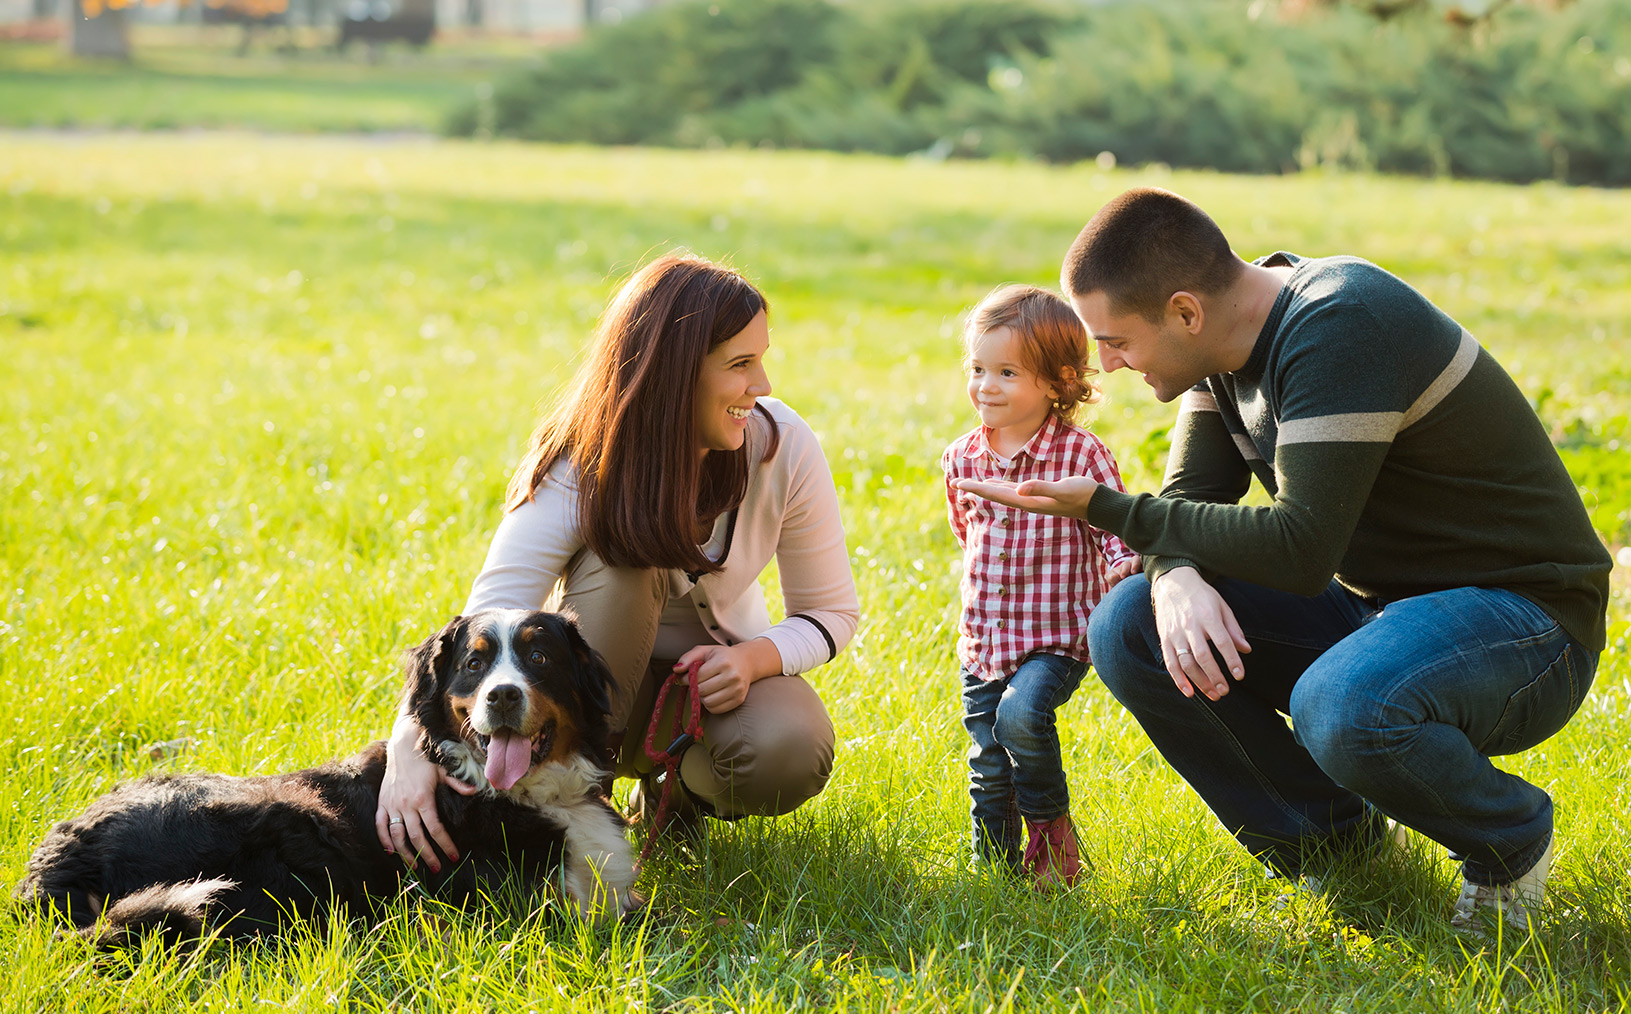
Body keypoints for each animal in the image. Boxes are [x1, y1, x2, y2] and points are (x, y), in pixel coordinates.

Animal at [14, 606, 636, 952]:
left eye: (539, 656)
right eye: (474, 663)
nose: (502, 696)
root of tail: (55, 859)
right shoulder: (523, 906)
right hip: (293, 824)